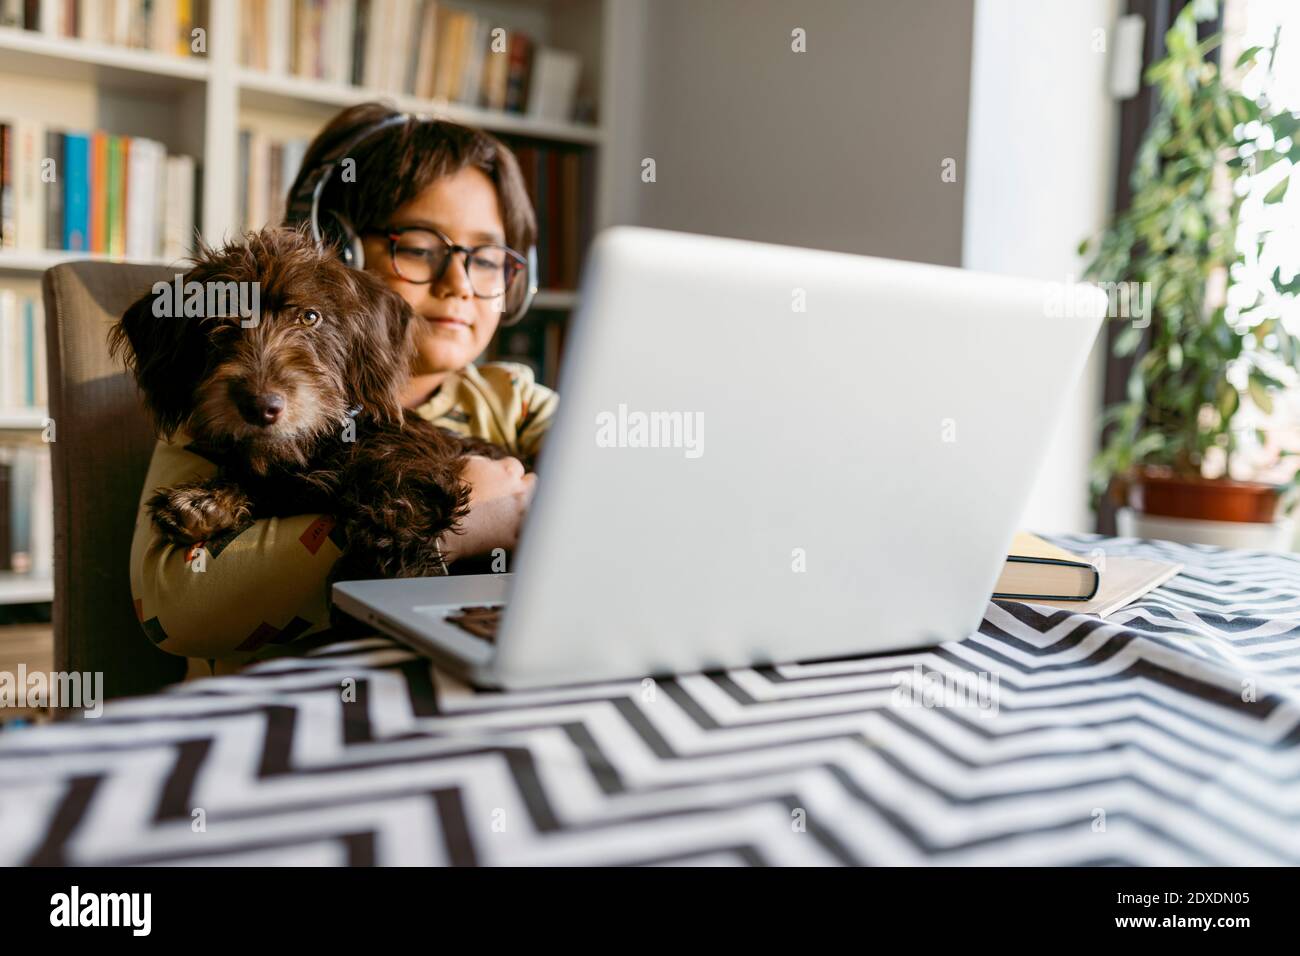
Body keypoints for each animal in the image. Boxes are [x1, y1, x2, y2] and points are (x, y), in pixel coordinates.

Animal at [107, 227, 506, 582]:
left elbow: (398, 516)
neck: (320, 444)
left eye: (310, 317)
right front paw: (203, 502)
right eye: (216, 322)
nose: (260, 406)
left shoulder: (415, 470)